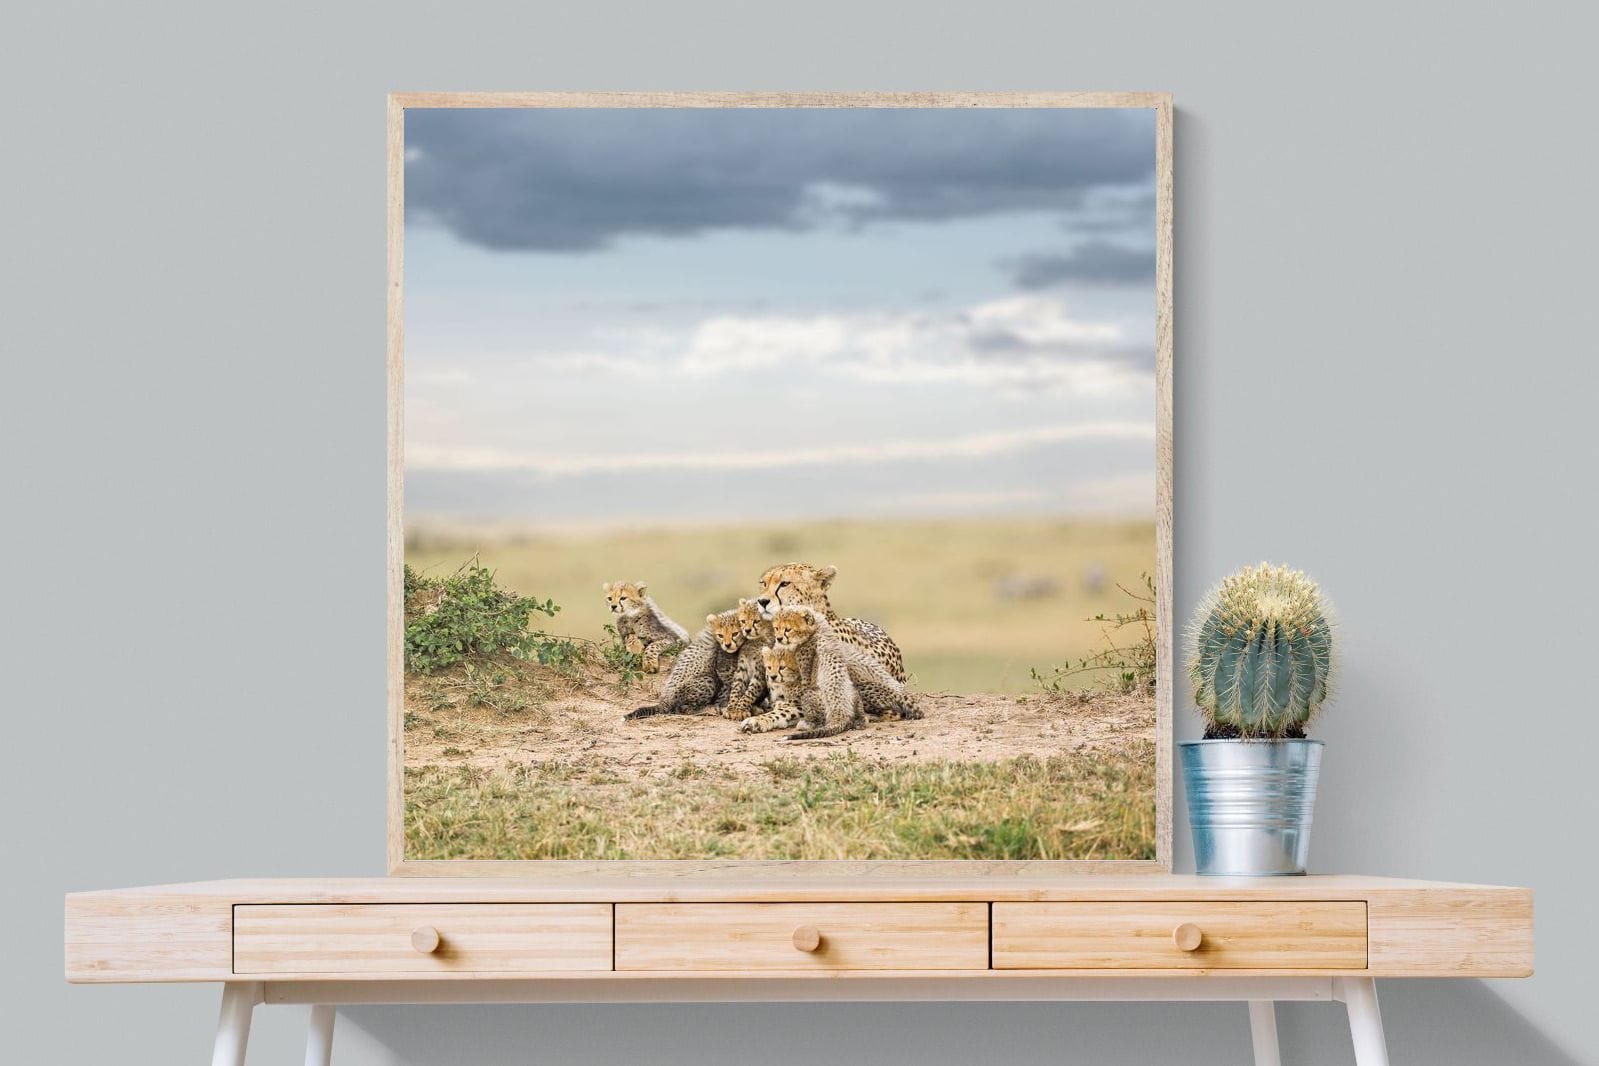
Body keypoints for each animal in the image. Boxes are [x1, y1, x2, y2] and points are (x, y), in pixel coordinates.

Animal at [767, 604, 866, 740]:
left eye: (788, 629)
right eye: (776, 628)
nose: (779, 638)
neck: (817, 628)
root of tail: (840, 712)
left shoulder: (804, 677)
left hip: (812, 697)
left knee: (818, 721)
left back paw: (805, 724)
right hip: (854, 694)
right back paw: (860, 721)